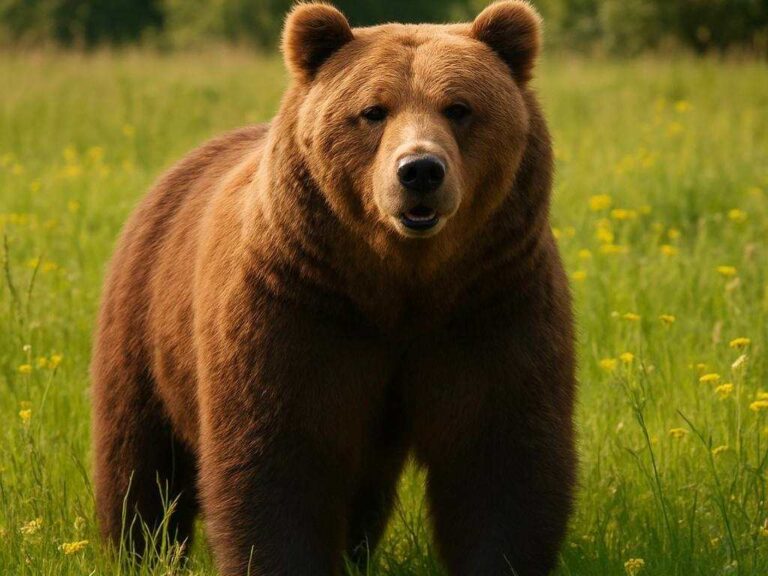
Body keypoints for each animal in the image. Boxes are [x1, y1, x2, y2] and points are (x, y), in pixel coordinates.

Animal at [90, 2, 577, 575]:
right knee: (141, 455)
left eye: (459, 107)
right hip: (146, 318)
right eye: (374, 110)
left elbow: (499, 455)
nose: (419, 171)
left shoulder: (489, 301)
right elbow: (280, 457)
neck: (400, 284)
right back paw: (141, 548)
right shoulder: (298, 306)